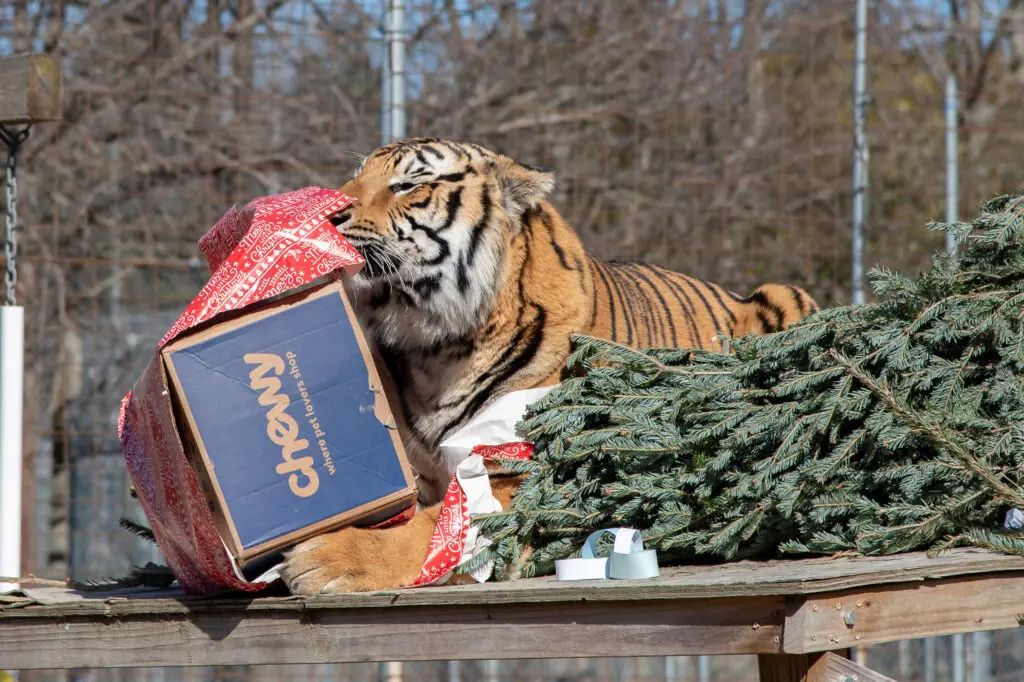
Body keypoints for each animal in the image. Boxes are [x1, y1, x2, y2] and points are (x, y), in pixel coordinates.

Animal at [279, 137, 819, 594]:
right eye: (356, 176)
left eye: (409, 185)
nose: (324, 216)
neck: (435, 347)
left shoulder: (523, 473)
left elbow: (436, 529)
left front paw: (324, 557)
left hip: (785, 296)